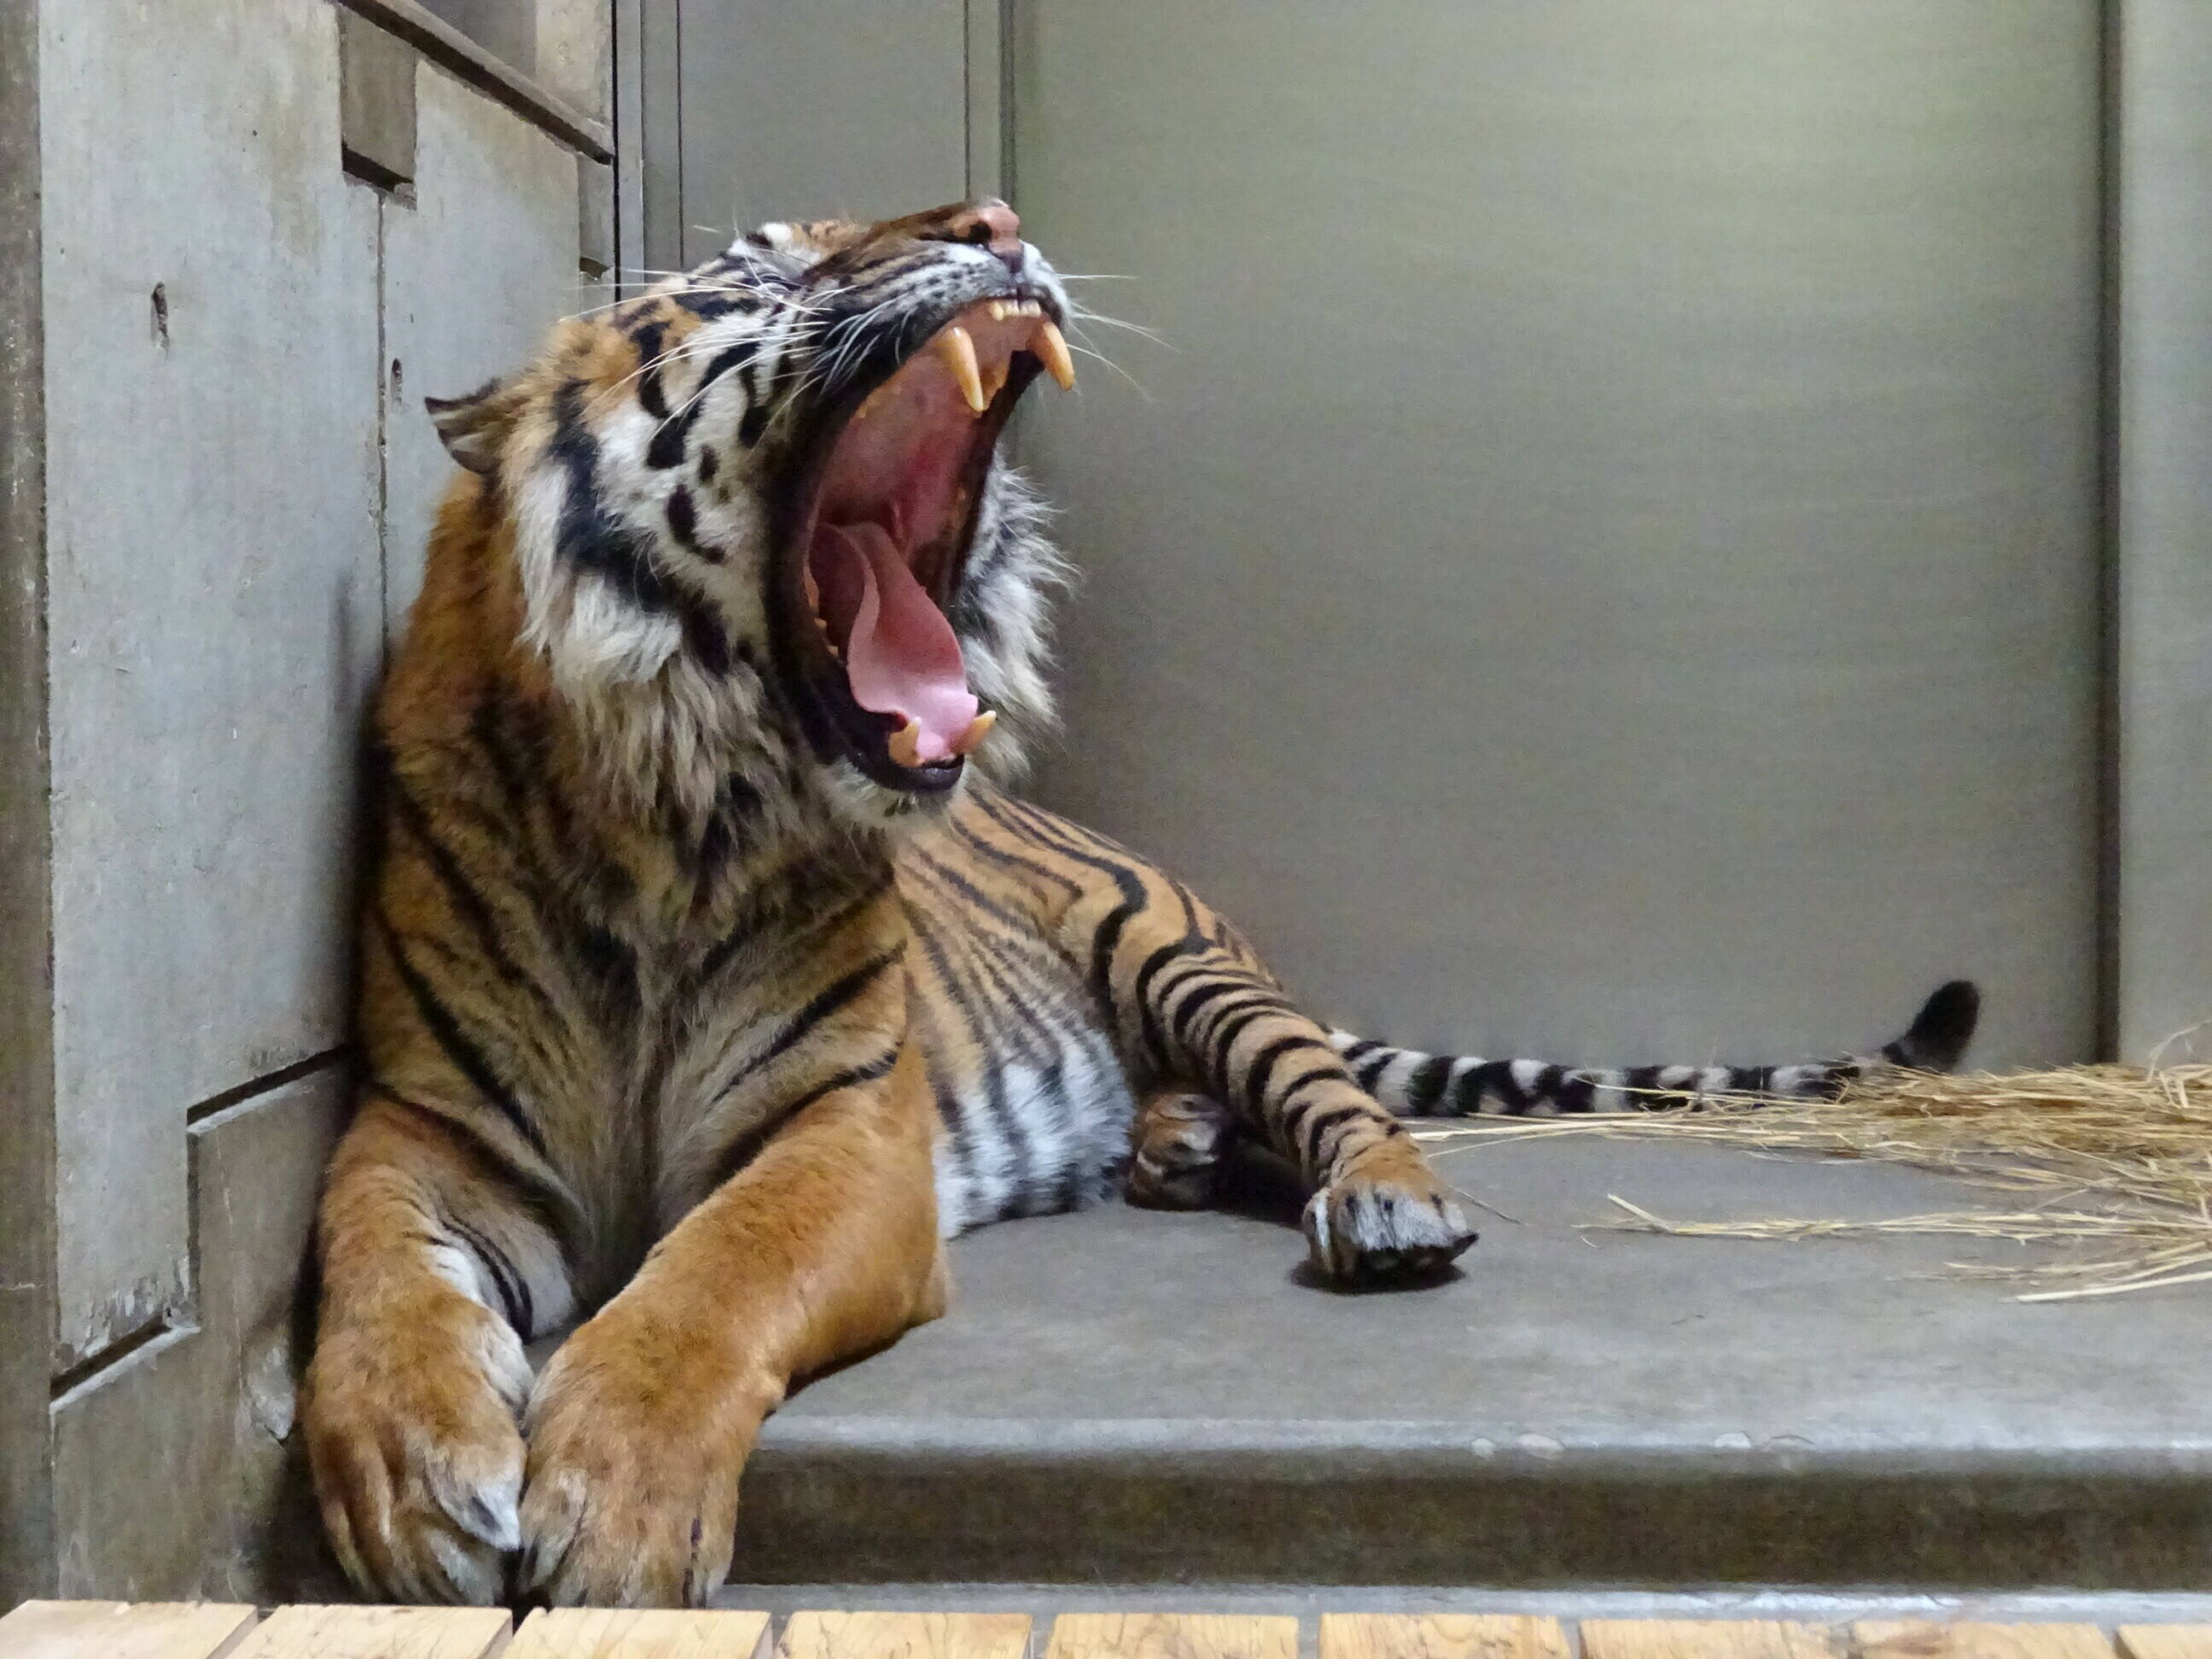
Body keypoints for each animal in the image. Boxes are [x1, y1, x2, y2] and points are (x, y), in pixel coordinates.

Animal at [303, 195, 1982, 1610]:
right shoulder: (431, 1126)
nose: (996, 220)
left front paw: (617, 1503)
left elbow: (707, 1281)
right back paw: (1179, 1145)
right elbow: (369, 1273)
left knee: (1339, 1100)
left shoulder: (845, 1133)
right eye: (760, 265)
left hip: (1176, 952)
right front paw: (413, 1484)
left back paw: (1379, 1201)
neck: (678, 812)